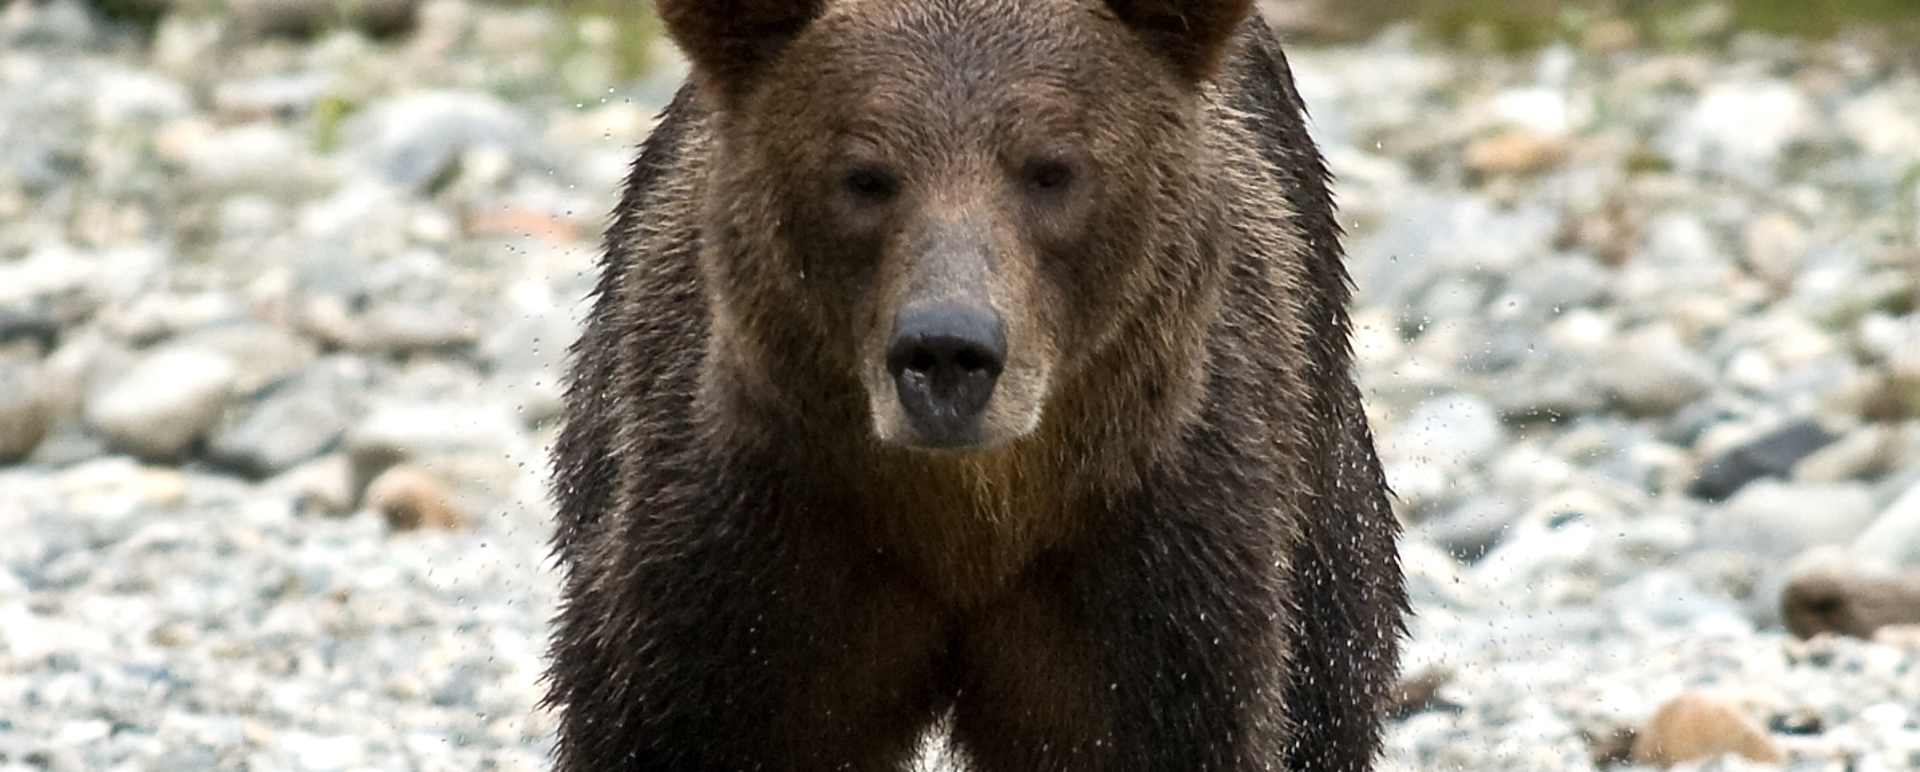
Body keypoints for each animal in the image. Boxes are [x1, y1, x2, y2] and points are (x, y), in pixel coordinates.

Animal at [543, 1, 1408, 770]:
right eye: (865, 176)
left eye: (1052, 169)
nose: (948, 351)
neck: (973, 519)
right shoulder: (744, 550)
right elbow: (693, 720)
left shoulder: (1157, 565)